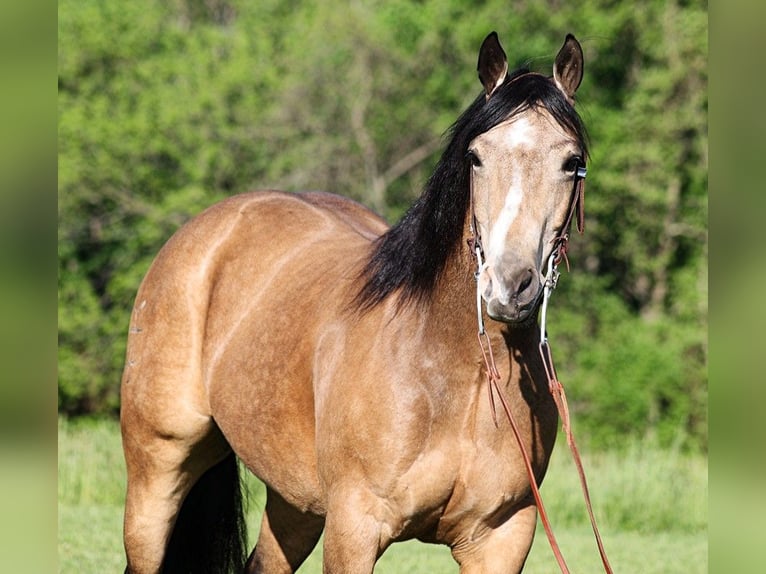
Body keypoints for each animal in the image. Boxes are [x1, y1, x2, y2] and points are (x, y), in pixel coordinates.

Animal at [123, 32, 596, 574]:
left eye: (571, 163)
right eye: (476, 156)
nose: (509, 284)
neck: (458, 377)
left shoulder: (502, 536)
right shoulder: (355, 527)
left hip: (295, 500)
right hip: (157, 471)